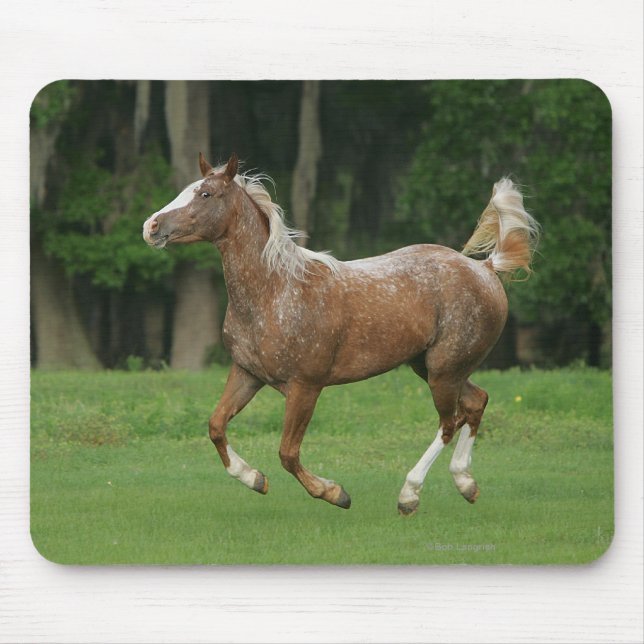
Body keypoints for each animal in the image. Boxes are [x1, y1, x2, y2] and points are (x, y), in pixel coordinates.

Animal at [143, 153, 539, 515]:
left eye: (205, 194)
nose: (150, 226)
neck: (275, 290)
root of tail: (485, 269)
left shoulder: (305, 386)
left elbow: (287, 453)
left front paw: (335, 493)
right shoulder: (247, 374)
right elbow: (216, 426)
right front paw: (254, 479)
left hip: (444, 370)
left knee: (449, 422)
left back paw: (409, 495)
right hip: (432, 367)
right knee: (475, 403)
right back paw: (466, 484)